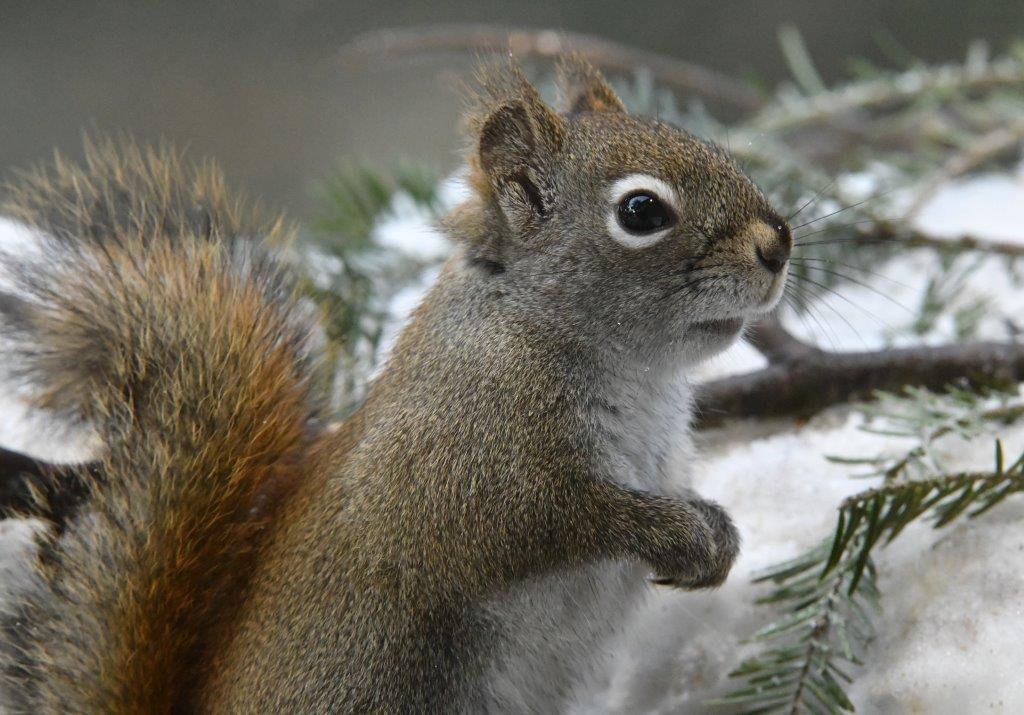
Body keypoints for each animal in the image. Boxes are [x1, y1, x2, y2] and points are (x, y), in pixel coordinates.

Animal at [0, 58, 791, 713]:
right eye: (641, 211)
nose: (778, 243)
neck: (633, 371)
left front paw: (718, 535)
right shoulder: (462, 463)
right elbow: (552, 518)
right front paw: (675, 532)